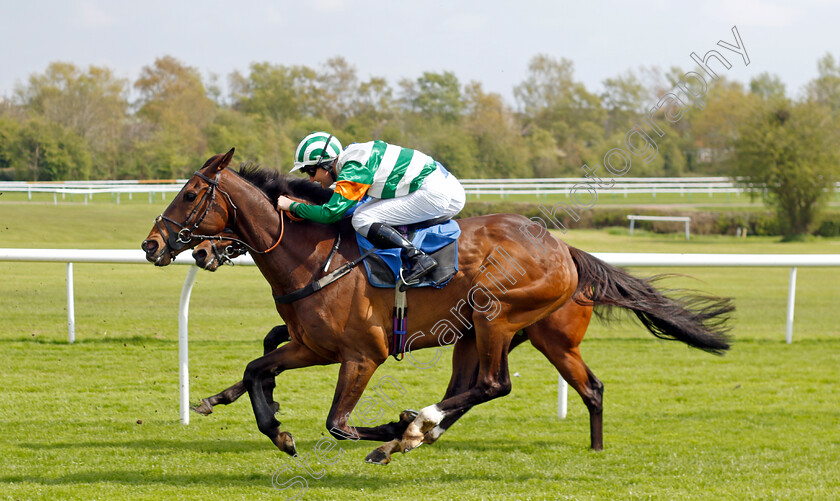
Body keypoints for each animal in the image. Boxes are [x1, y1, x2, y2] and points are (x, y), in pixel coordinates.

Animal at [141, 149, 732, 464]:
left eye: (190, 193)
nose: (152, 245)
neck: (313, 255)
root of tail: (564, 249)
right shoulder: (312, 346)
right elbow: (256, 366)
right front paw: (271, 427)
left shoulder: (363, 354)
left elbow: (339, 423)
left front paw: (388, 432)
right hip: (511, 335)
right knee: (577, 387)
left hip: (497, 317)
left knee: (495, 385)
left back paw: (413, 428)